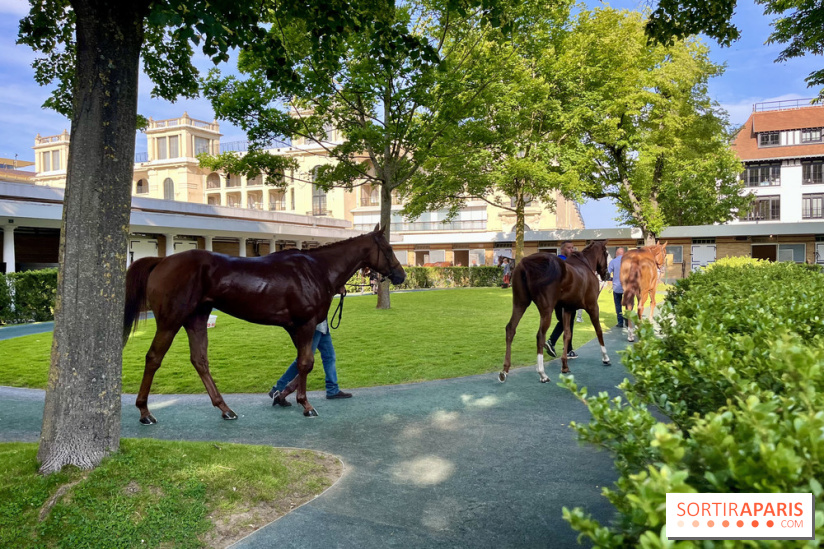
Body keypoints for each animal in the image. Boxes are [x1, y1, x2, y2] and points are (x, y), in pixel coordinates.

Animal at [123, 224, 405, 423]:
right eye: (390, 249)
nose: (401, 275)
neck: (317, 269)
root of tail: (162, 260)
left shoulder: (296, 327)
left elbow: (304, 362)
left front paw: (283, 395)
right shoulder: (305, 323)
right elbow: (306, 363)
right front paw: (305, 404)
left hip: (196, 319)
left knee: (200, 360)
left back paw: (225, 409)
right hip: (170, 321)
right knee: (153, 358)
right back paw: (144, 412)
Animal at [499, 240, 611, 382]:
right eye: (606, 253)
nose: (607, 274)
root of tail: (525, 263)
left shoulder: (567, 309)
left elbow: (567, 334)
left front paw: (564, 365)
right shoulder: (593, 306)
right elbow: (599, 330)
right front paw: (606, 357)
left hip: (520, 303)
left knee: (510, 329)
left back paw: (505, 370)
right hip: (546, 310)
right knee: (540, 335)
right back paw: (542, 373)